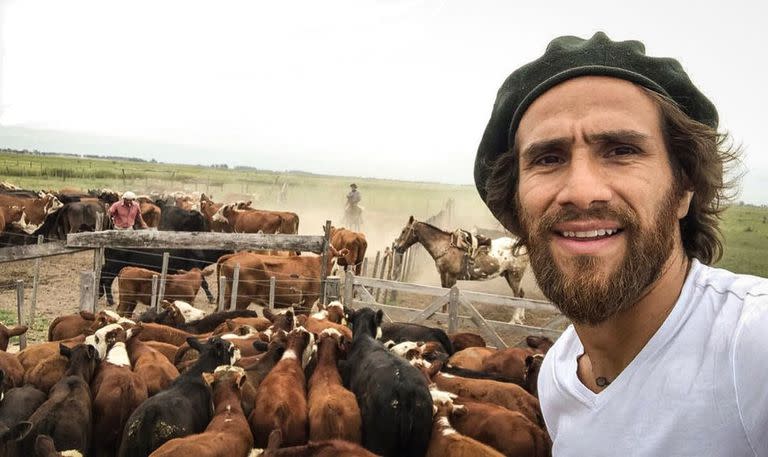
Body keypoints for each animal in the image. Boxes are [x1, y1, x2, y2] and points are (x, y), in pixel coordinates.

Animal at [396, 215, 528, 324]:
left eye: (404, 231)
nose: (397, 247)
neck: (445, 247)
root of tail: (521, 248)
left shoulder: (451, 276)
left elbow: (449, 296)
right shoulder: (443, 275)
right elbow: (444, 294)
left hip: (515, 276)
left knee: (517, 295)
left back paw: (513, 320)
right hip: (509, 276)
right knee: (521, 294)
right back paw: (520, 318)